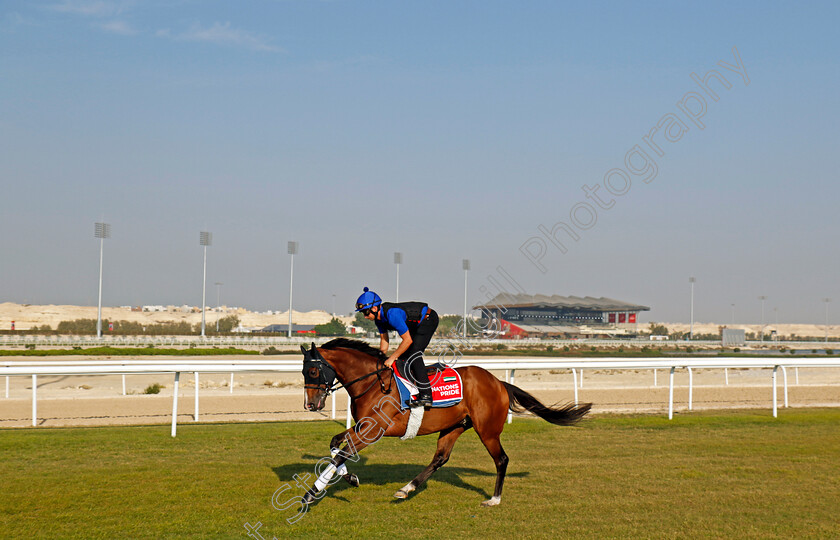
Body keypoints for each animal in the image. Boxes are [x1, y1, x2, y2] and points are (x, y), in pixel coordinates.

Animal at [300, 338, 592, 506]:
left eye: (313, 370)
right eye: (303, 371)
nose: (311, 405)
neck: (373, 382)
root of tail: (498, 382)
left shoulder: (374, 431)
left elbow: (342, 452)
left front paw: (311, 493)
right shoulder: (363, 427)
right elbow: (336, 445)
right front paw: (349, 477)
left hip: (487, 430)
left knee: (501, 459)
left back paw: (494, 499)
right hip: (454, 426)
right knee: (440, 458)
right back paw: (406, 489)